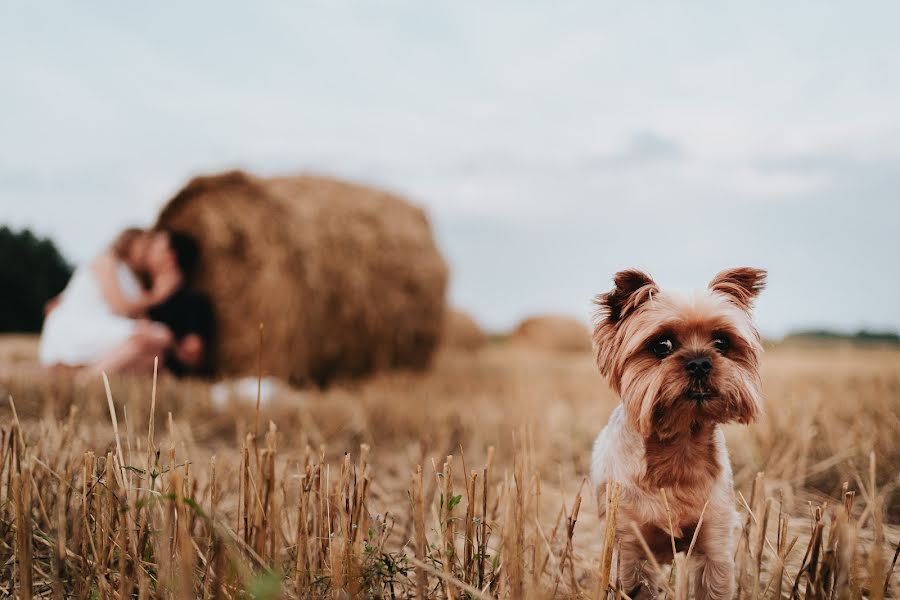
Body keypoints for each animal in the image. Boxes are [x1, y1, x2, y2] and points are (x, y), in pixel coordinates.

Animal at [592, 268, 768, 600]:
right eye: (662, 345)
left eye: (721, 342)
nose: (700, 362)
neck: (680, 443)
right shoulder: (630, 546)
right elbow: (634, 584)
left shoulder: (715, 541)